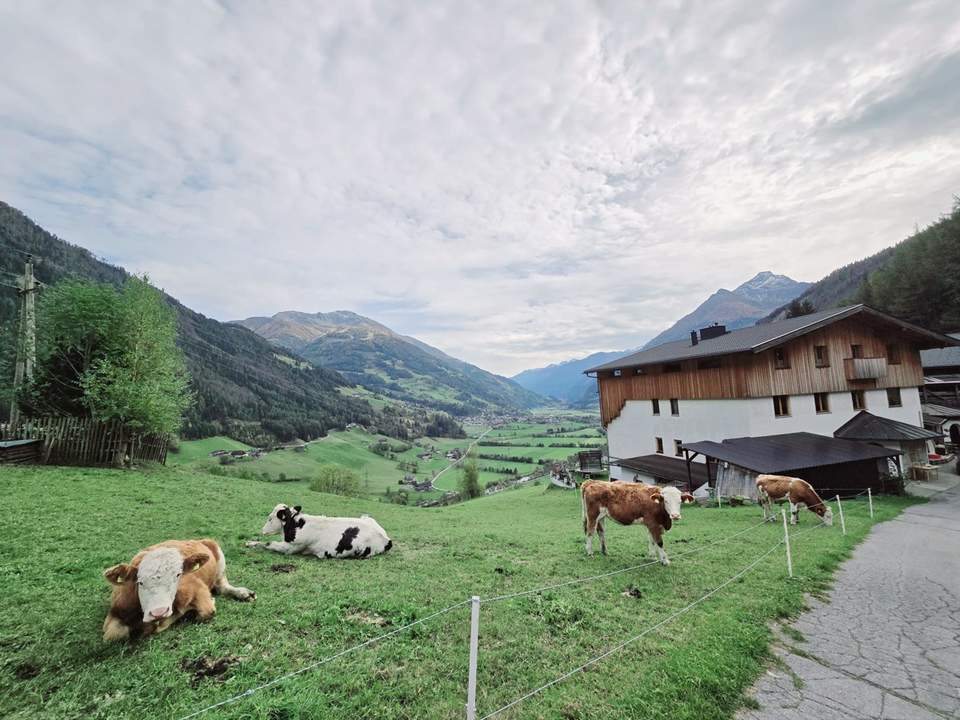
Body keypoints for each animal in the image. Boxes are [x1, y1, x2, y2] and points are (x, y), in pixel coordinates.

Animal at [102, 540, 255, 640]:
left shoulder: (198, 589)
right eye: (140, 581)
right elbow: (115, 634)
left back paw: (244, 593)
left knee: (223, 586)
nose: (158, 612)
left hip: (220, 561)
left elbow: (205, 611)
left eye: (178, 575)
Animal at [249, 504, 396, 560]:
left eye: (269, 518)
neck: (296, 524)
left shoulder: (291, 548)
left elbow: (269, 543)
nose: (262, 530)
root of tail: (386, 538)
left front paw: (251, 543)